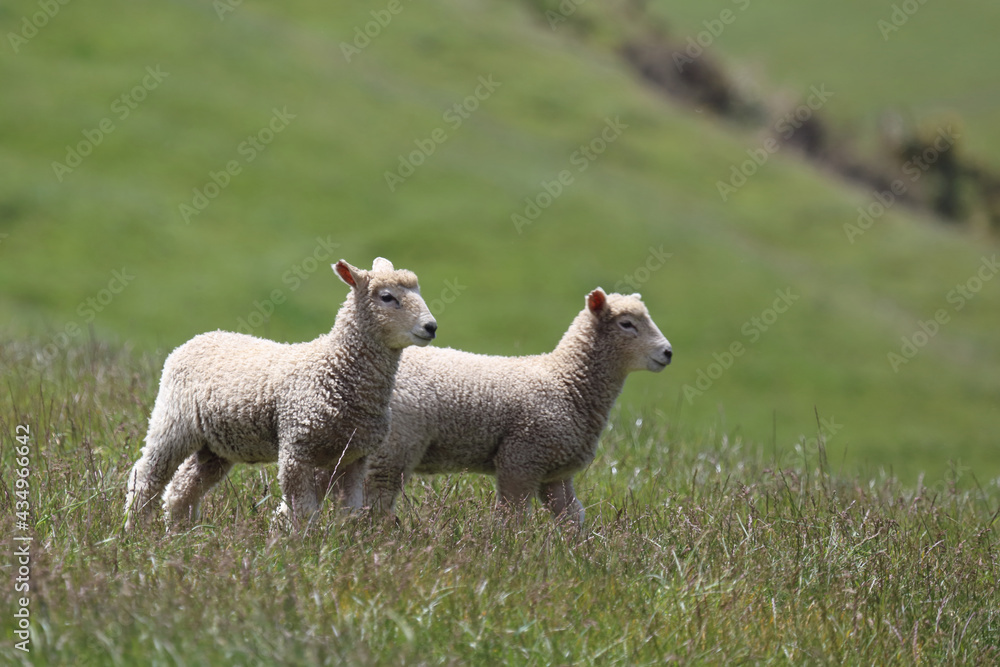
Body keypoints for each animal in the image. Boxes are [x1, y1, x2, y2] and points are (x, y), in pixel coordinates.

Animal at [124, 257, 437, 531]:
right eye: (387, 297)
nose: (431, 327)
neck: (333, 367)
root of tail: (202, 336)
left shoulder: (354, 457)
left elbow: (350, 510)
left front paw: (344, 541)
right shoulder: (297, 448)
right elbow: (303, 510)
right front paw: (302, 546)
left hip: (217, 444)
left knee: (184, 486)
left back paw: (181, 532)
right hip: (172, 420)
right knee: (147, 475)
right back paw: (135, 529)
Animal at [364, 287, 671, 527]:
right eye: (627, 324)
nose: (668, 352)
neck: (567, 382)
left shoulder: (556, 473)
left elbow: (572, 516)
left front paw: (574, 552)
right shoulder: (521, 458)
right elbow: (513, 516)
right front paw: (509, 549)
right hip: (395, 446)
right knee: (377, 501)